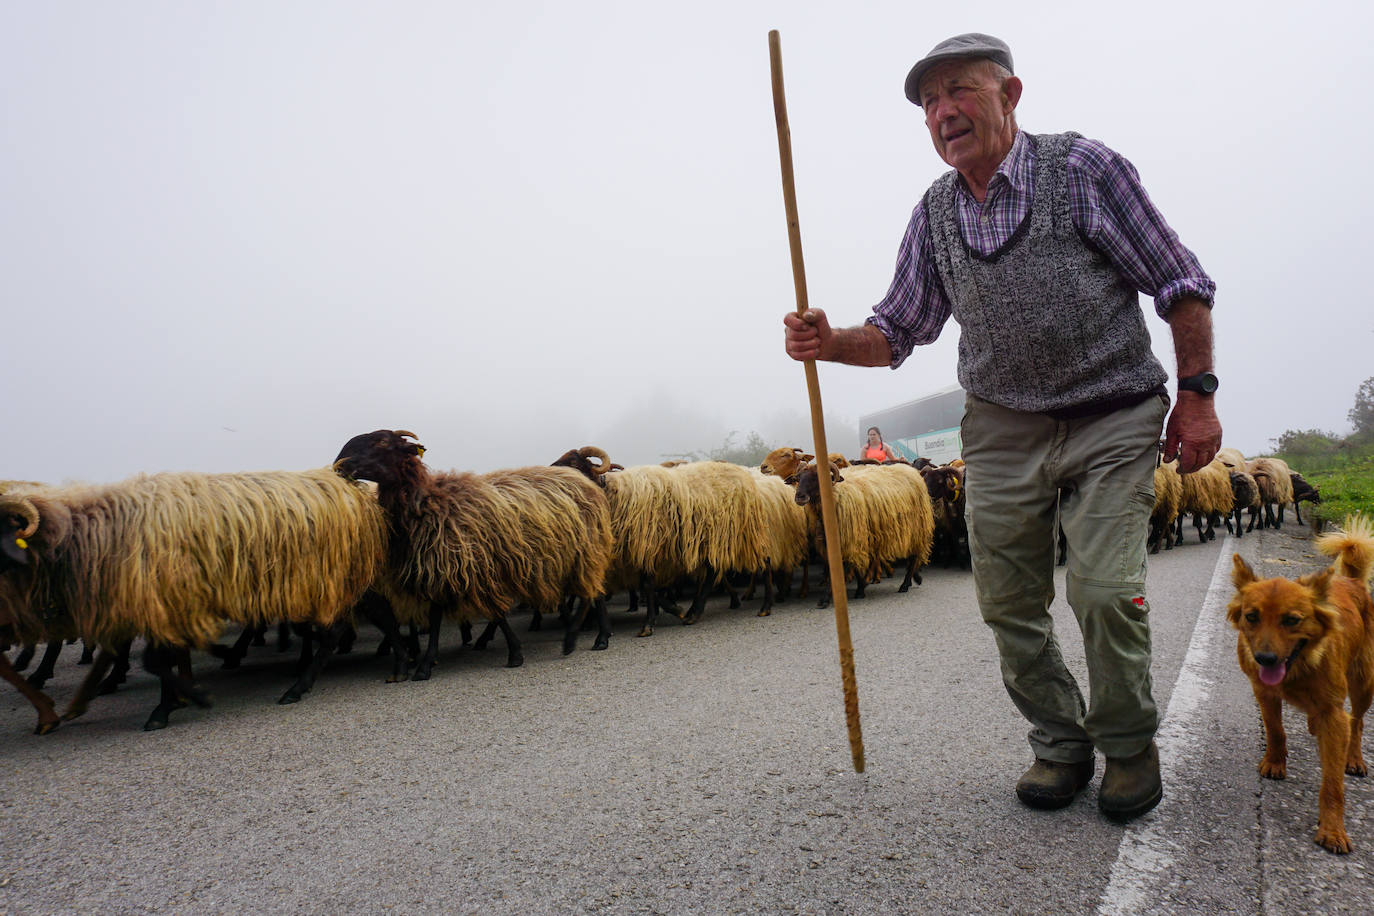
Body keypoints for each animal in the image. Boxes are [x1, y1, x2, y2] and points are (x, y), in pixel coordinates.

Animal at [0, 468, 390, 729]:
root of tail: (347, 488)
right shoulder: (155, 606)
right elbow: (156, 658)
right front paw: (180, 695)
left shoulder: (164, 604)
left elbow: (154, 660)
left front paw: (181, 702)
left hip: (331, 579)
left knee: (333, 630)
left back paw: (299, 683)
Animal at [334, 430, 613, 678]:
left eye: (381, 441)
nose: (340, 464)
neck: (430, 504)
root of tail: (585, 483)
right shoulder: (441, 569)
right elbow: (435, 619)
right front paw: (426, 664)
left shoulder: (480, 569)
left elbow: (497, 614)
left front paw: (514, 653)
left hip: (585, 550)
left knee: (593, 594)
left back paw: (581, 638)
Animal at [792, 462, 934, 607]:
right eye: (798, 478)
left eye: (817, 477)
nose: (799, 497)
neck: (835, 494)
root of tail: (911, 470)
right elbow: (855, 567)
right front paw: (860, 590)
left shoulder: (850, 540)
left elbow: (842, 569)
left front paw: (825, 599)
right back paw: (915, 579)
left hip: (916, 530)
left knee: (913, 557)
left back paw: (905, 584)